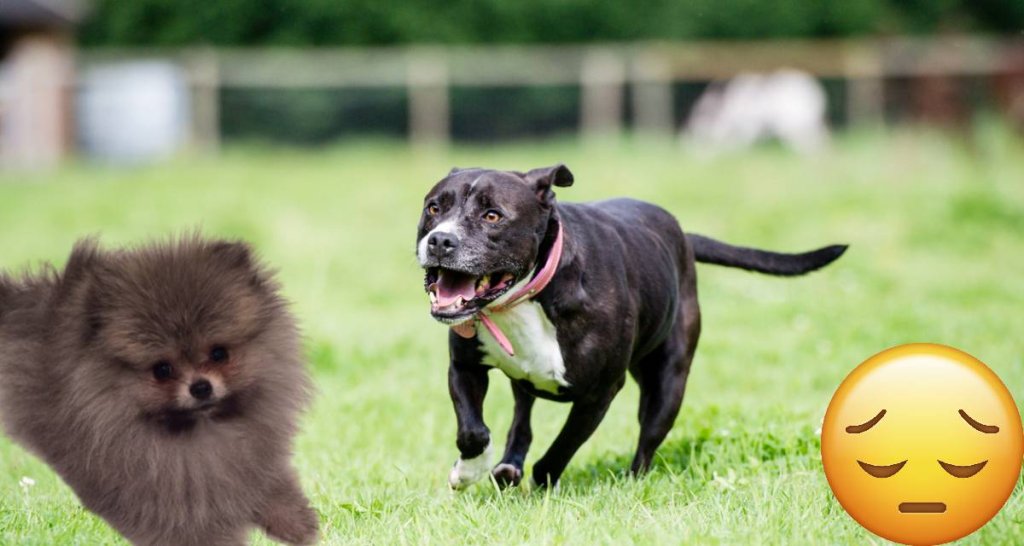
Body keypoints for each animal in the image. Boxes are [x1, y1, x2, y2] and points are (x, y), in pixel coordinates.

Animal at [0, 237, 317, 544]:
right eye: (162, 369)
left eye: (219, 354)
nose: (200, 387)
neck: (198, 430)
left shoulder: (251, 459)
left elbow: (270, 485)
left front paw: (299, 524)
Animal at [415, 163, 847, 487]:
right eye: (434, 208)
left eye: (493, 216)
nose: (440, 241)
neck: (528, 297)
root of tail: (683, 237)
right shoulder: (465, 367)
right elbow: (472, 431)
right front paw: (467, 472)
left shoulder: (599, 394)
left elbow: (561, 449)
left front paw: (540, 481)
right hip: (527, 382)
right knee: (522, 419)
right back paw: (508, 467)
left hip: (668, 383)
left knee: (648, 435)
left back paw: (632, 480)